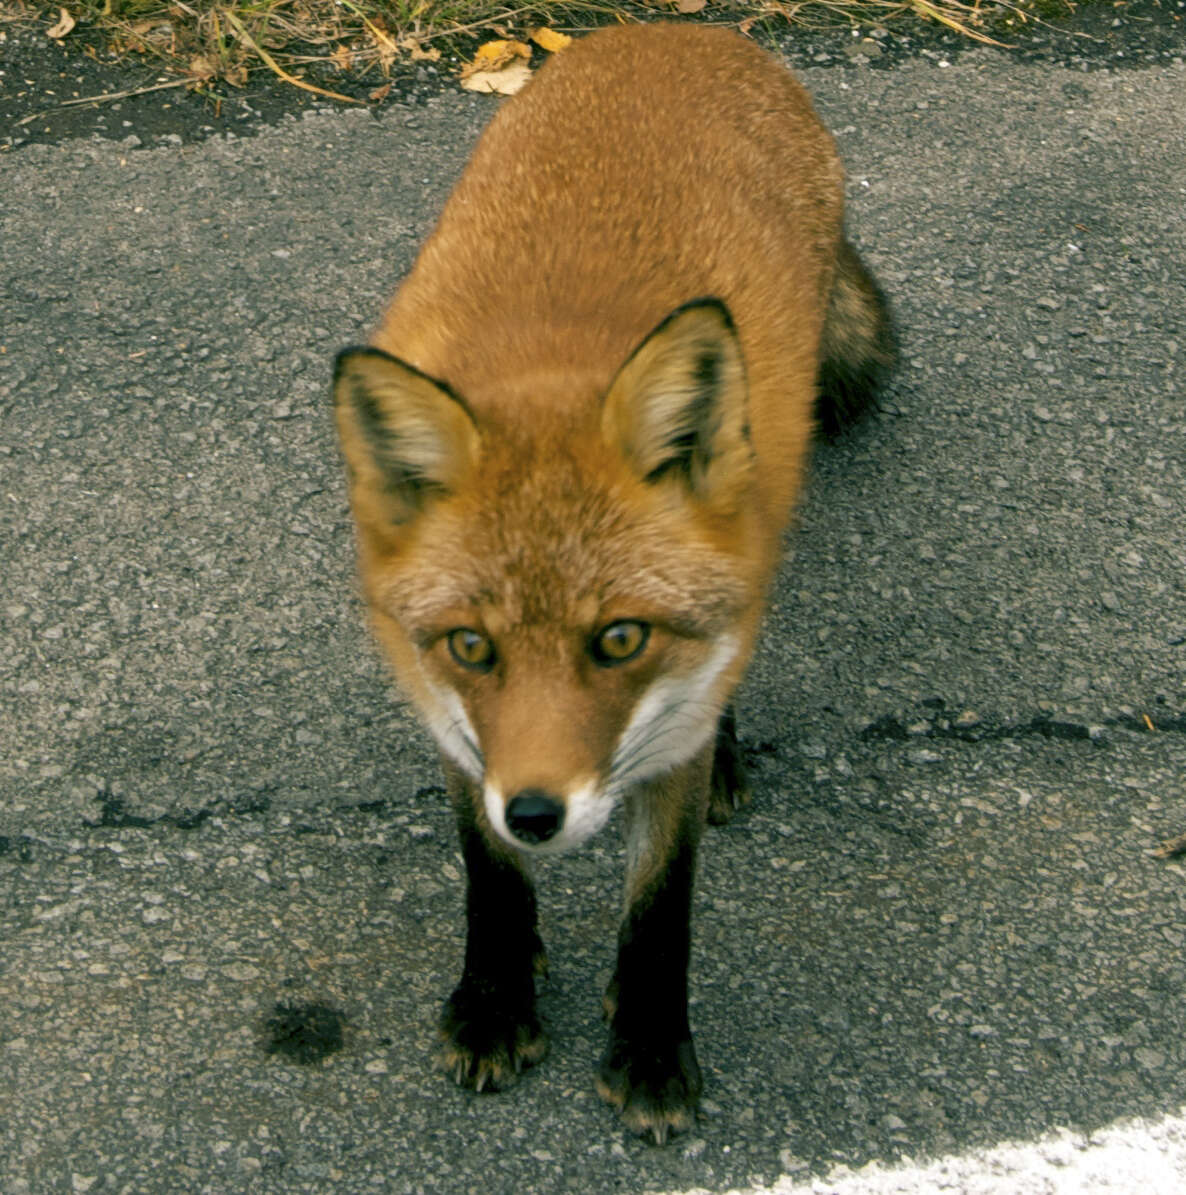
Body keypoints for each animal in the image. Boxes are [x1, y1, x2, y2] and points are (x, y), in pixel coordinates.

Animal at [329, 18, 894, 1137]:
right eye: (472, 644)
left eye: (620, 638)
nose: (539, 813)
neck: (555, 363)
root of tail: (685, 29)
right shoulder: (455, 724)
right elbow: (487, 873)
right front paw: (497, 998)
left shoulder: (666, 726)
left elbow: (661, 908)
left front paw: (649, 1047)